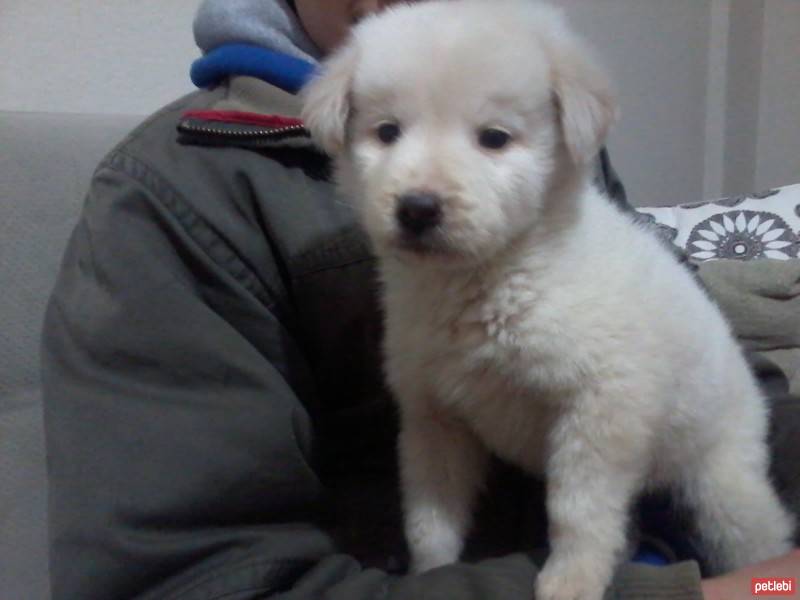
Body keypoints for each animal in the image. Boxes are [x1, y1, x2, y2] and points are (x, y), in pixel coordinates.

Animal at [302, 2, 792, 596]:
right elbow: (430, 518)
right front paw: (431, 573)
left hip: (724, 486)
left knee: (756, 533)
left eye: (494, 138)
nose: (417, 208)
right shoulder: (432, 417)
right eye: (387, 132)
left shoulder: (602, 408)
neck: (494, 278)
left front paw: (570, 581)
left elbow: (578, 510)